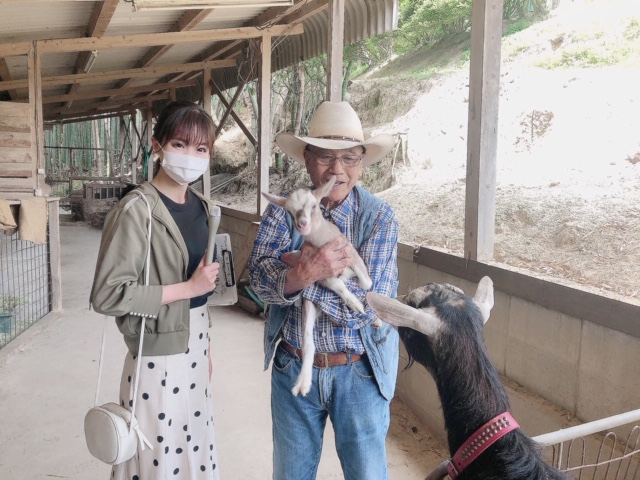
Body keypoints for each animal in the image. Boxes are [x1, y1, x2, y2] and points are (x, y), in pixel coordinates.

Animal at [262, 176, 378, 398]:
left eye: (314, 205)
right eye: (289, 211)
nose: (302, 225)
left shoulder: (351, 253)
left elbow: (366, 282)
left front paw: (363, 307)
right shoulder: (321, 274)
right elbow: (339, 283)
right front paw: (355, 304)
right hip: (309, 308)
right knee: (308, 344)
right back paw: (302, 384)